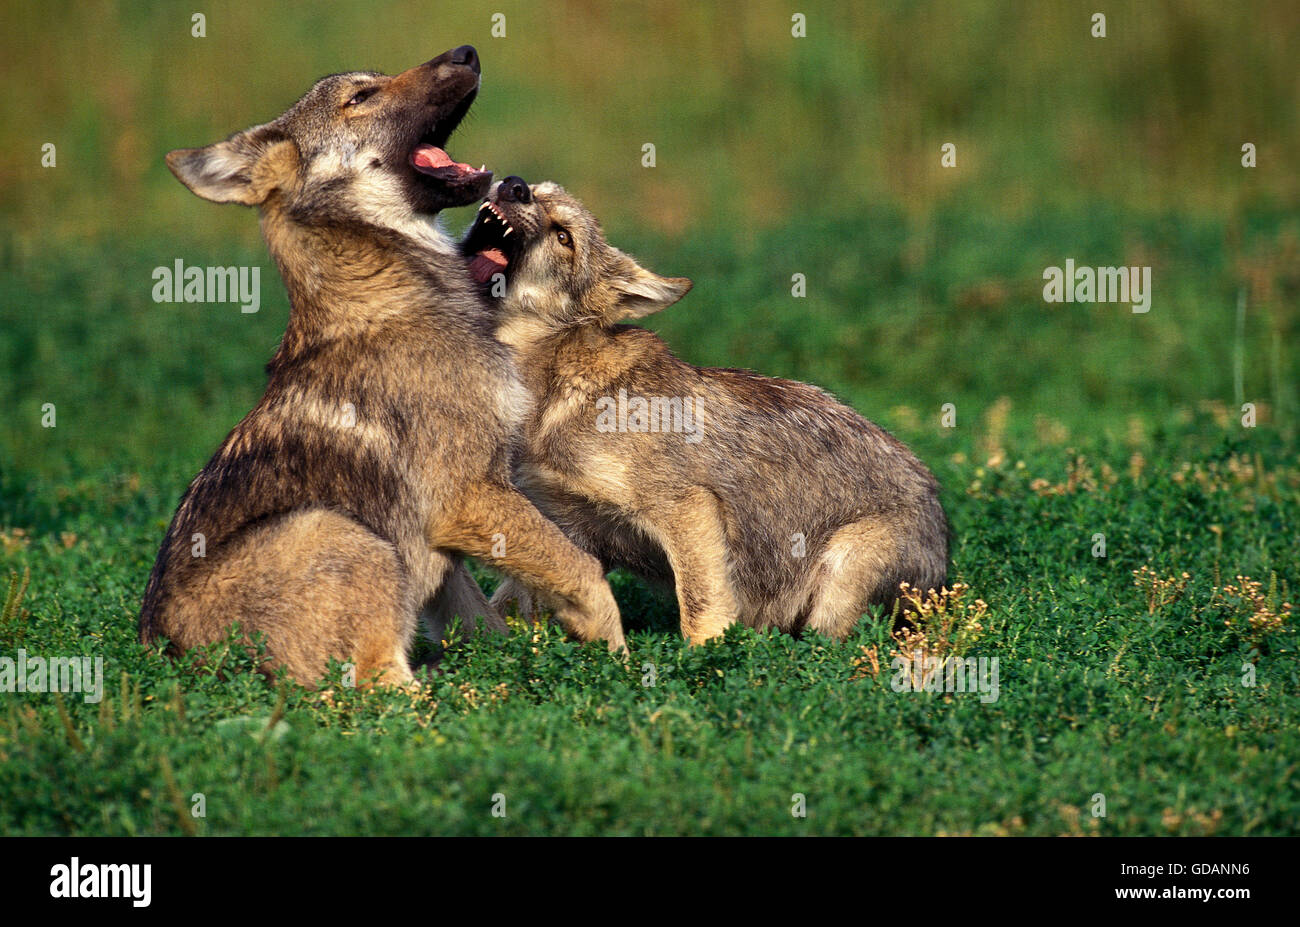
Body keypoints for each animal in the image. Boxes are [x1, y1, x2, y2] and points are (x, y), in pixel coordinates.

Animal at [139, 50, 626, 686]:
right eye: (361, 97)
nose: (468, 52)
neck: (398, 294)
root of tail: (168, 657)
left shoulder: (447, 548)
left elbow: (488, 624)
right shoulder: (468, 495)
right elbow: (586, 569)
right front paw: (617, 657)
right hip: (347, 534)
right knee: (385, 690)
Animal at [462, 179, 951, 644]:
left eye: (564, 236)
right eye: (535, 191)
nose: (513, 184)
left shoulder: (686, 507)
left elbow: (700, 612)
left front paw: (705, 663)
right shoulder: (566, 527)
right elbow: (502, 607)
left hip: (841, 572)